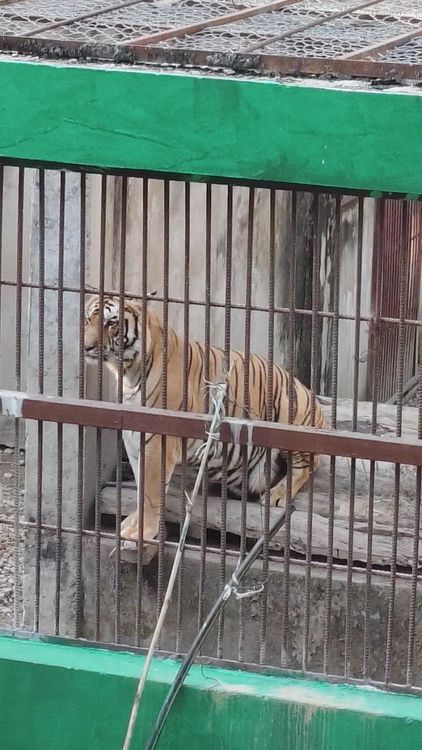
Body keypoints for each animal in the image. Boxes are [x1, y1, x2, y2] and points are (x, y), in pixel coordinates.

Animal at [84, 294, 326, 561]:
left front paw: (141, 533)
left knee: (309, 463)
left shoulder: (157, 440)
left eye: (111, 323)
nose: (85, 347)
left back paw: (276, 494)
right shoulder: (133, 438)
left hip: (288, 410)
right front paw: (133, 523)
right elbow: (141, 489)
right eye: (87, 319)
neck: (128, 372)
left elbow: (150, 492)